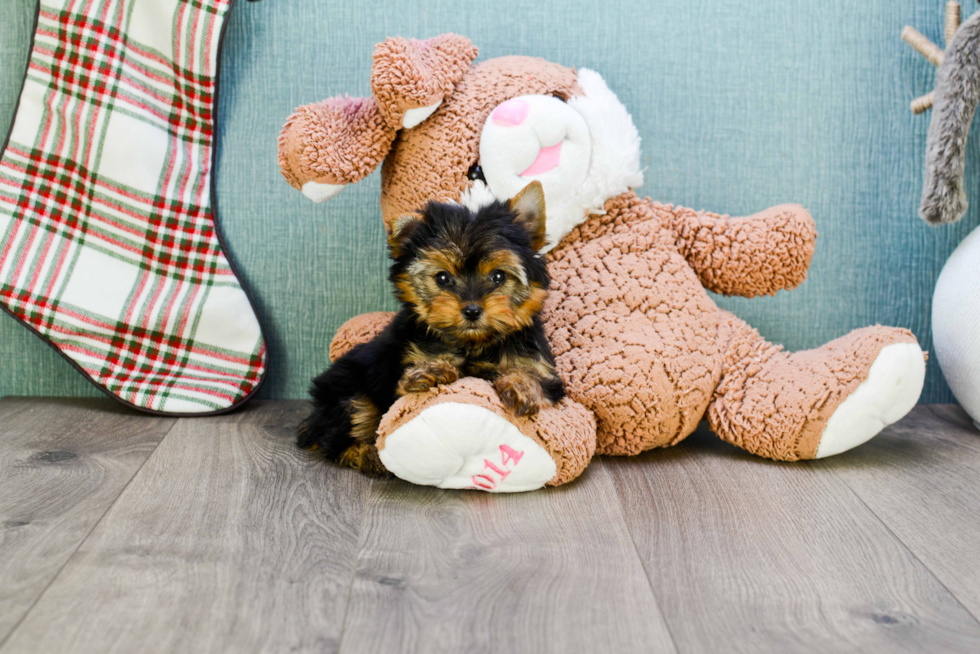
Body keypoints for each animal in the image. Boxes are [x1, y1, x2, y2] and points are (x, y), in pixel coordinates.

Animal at [294, 182, 564, 480]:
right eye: (443, 278)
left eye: (498, 276)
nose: (472, 310)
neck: (473, 343)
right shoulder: (404, 362)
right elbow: (404, 388)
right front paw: (432, 372)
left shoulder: (540, 366)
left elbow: (533, 376)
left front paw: (521, 387)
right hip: (345, 389)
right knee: (344, 431)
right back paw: (370, 457)